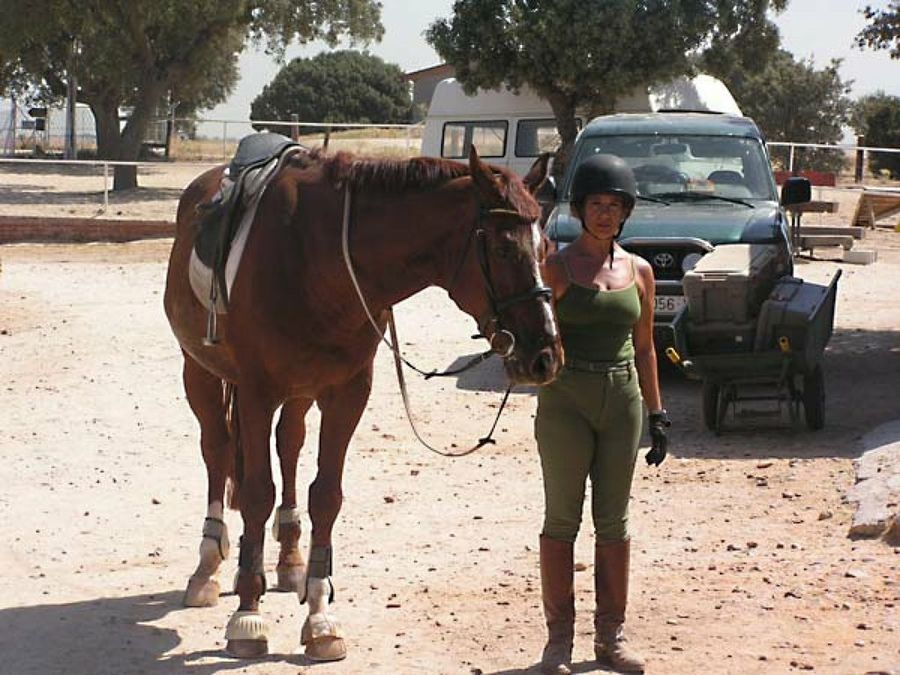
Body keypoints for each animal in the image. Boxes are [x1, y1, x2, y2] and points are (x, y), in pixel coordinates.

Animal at [163, 144, 563, 660]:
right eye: (503, 249)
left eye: (546, 248)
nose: (545, 356)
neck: (321, 258)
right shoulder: (255, 391)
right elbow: (255, 494)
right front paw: (248, 618)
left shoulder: (348, 393)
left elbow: (326, 497)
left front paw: (320, 616)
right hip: (201, 372)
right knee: (216, 450)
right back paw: (208, 567)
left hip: (299, 393)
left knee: (289, 445)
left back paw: (289, 560)